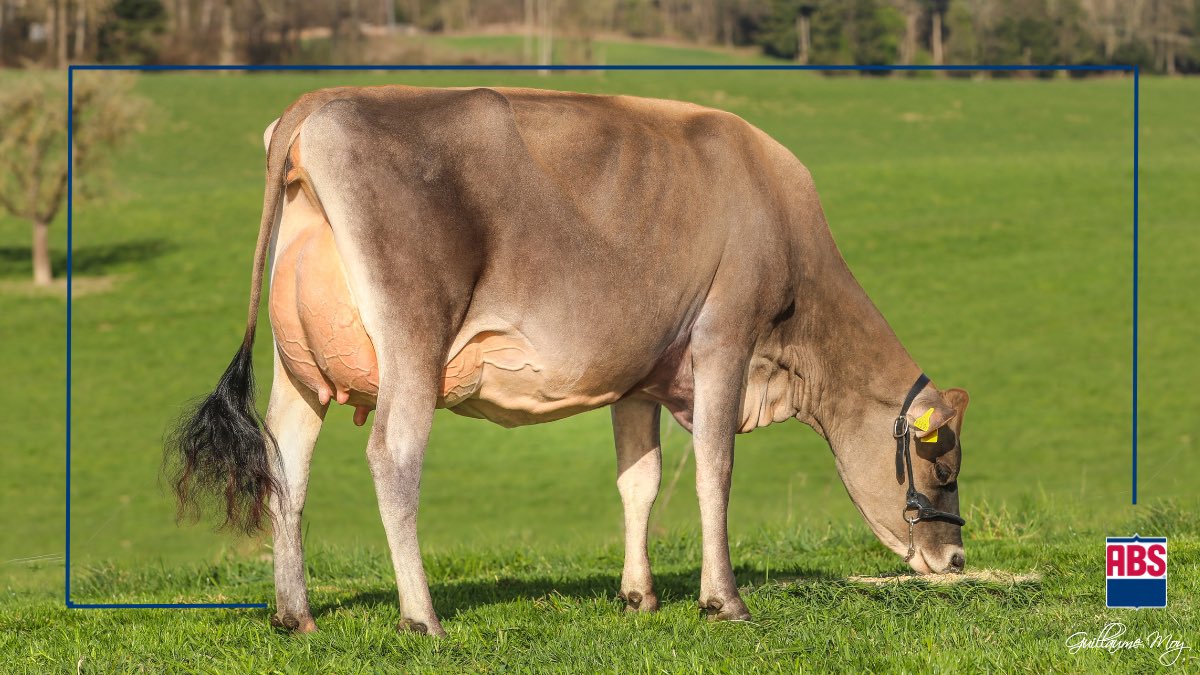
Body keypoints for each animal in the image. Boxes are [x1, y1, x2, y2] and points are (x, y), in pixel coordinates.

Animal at [166, 85, 969, 637]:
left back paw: (294, 613)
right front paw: (724, 599)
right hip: (415, 336)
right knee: (392, 457)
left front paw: (639, 593)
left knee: (285, 461)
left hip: (301, 368)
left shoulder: (641, 372)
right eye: (942, 467)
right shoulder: (724, 339)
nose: (957, 561)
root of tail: (319, 103)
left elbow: (640, 482)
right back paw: (422, 617)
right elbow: (714, 472)